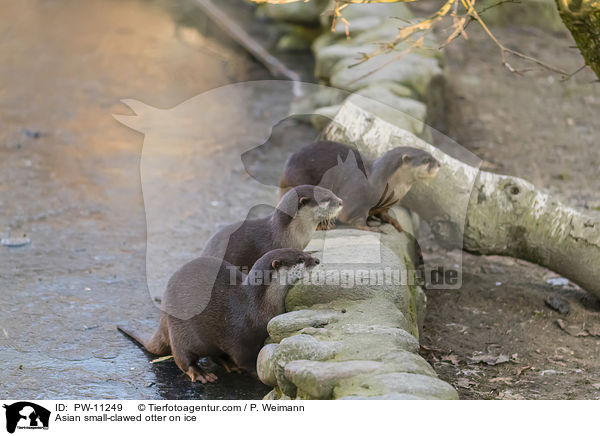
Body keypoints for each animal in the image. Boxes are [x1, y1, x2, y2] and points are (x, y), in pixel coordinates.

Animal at [278, 141, 440, 233]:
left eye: (432, 156)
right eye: (426, 160)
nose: (439, 164)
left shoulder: (384, 205)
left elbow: (384, 213)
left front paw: (394, 222)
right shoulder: (355, 199)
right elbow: (355, 218)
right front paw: (370, 228)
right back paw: (323, 226)